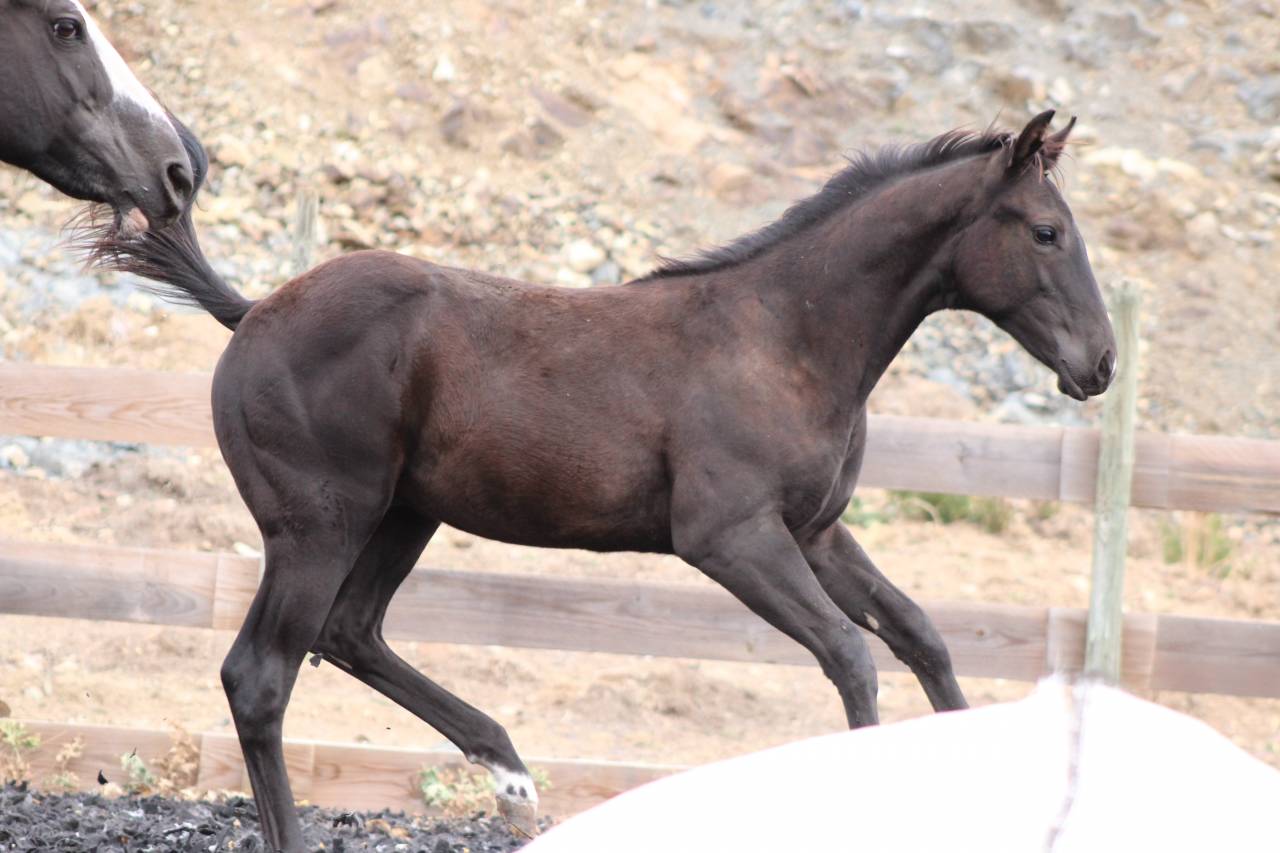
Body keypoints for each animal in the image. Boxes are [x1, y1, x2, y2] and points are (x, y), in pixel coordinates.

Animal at [89, 110, 1114, 851]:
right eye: (1047, 231)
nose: (1100, 364)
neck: (785, 336)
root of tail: (255, 310)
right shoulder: (731, 538)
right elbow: (852, 656)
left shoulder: (815, 532)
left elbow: (921, 637)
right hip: (318, 523)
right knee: (261, 676)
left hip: (402, 515)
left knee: (350, 633)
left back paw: (513, 779)